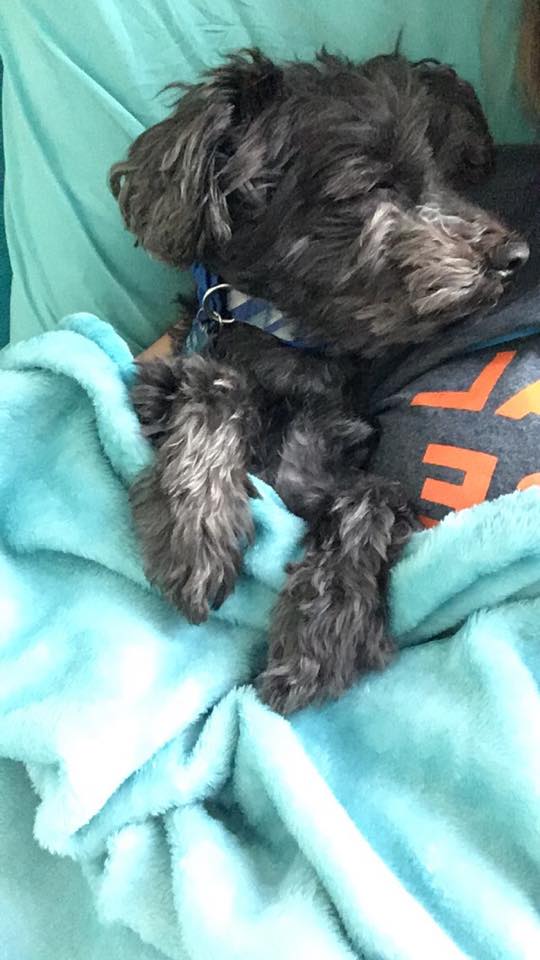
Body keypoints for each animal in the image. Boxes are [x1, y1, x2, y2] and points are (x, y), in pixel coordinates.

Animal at [109, 50, 528, 712]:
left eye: (455, 176)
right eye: (376, 183)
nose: (516, 256)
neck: (296, 346)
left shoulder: (321, 474)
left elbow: (372, 497)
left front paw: (325, 634)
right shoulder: (159, 378)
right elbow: (214, 386)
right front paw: (195, 528)